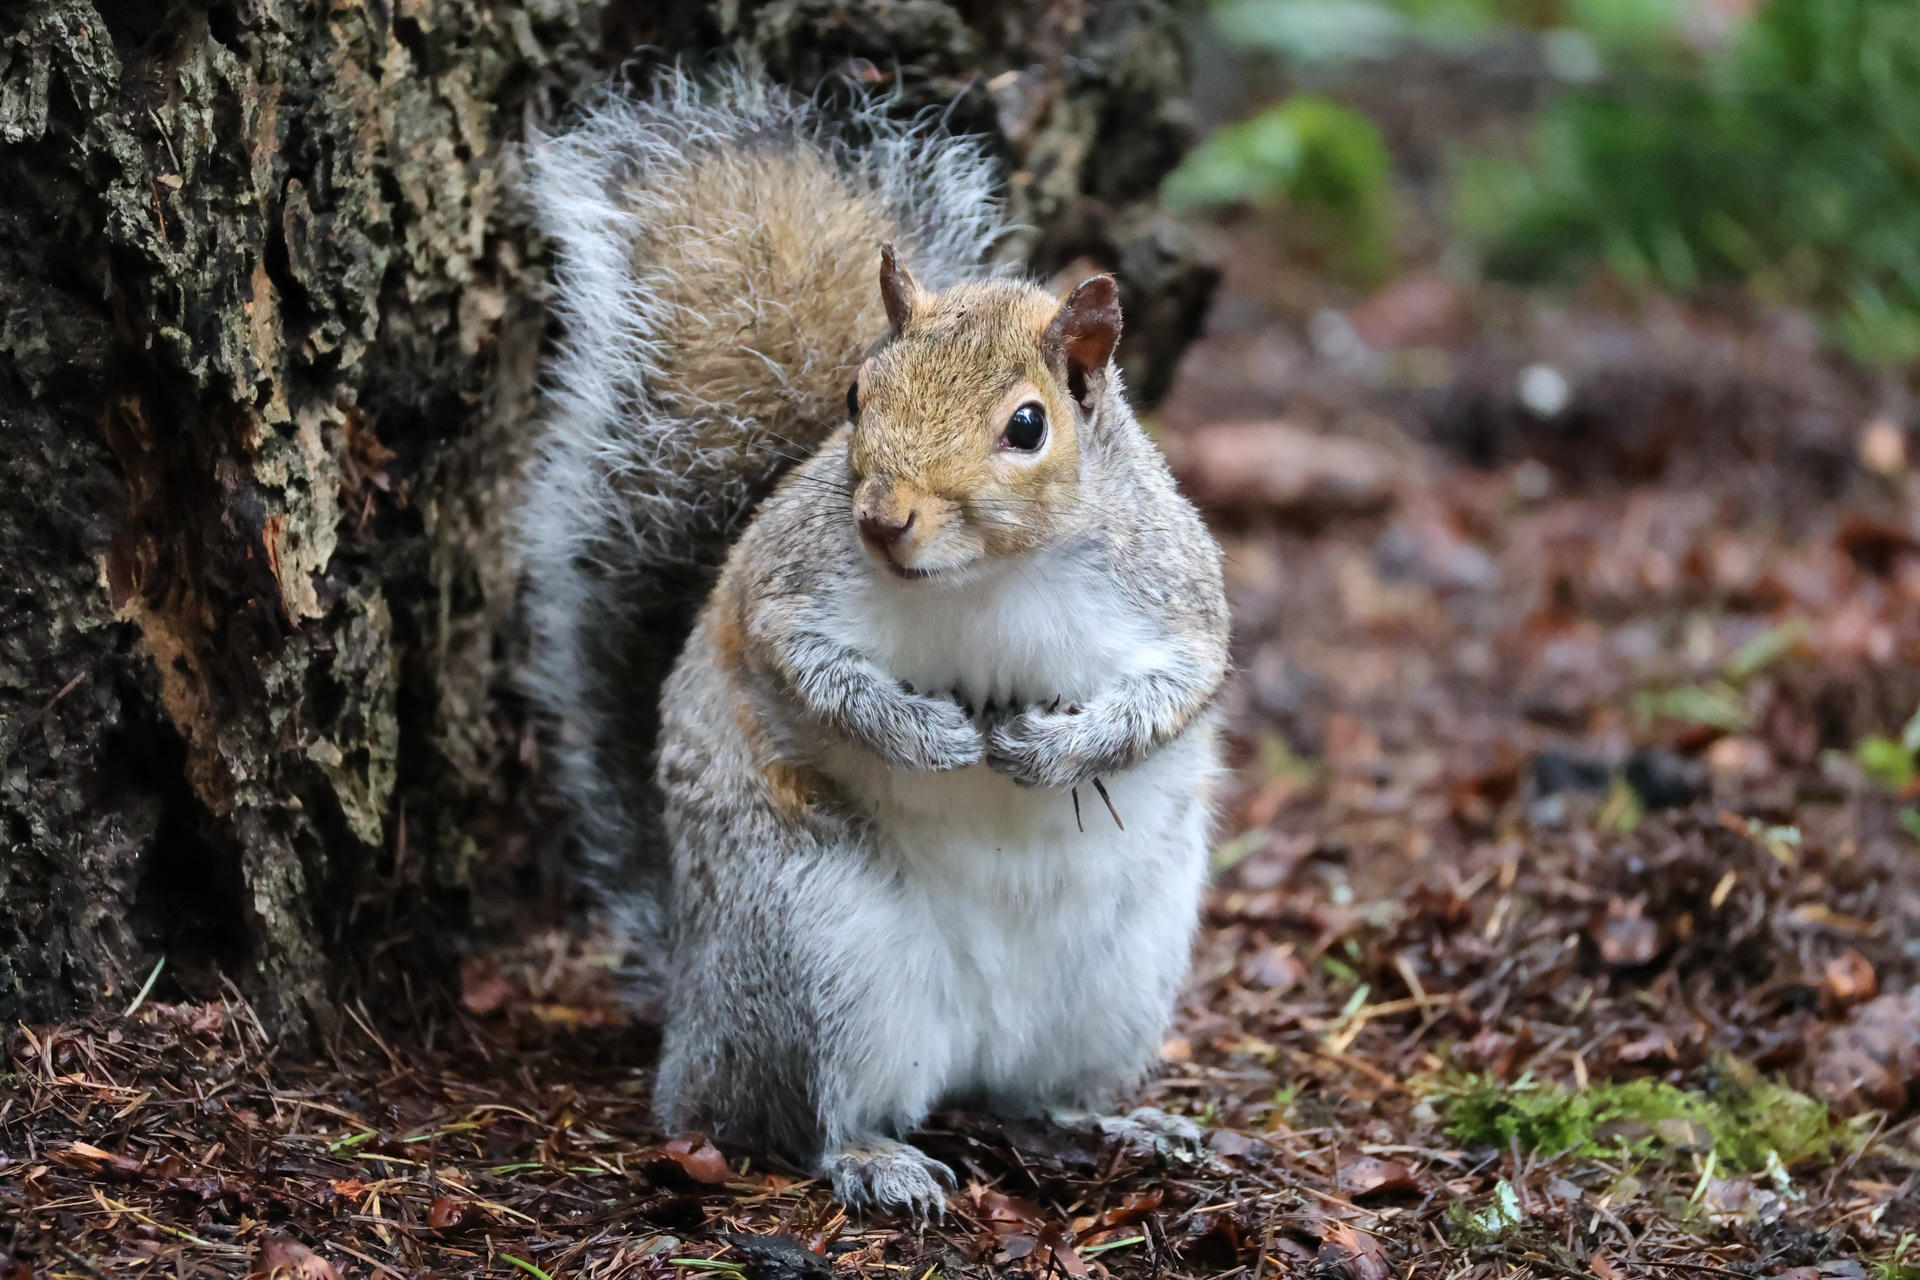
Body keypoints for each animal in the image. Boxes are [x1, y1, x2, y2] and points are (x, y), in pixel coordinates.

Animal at [517, 66, 1230, 1215]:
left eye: (1027, 426)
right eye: (857, 396)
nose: (884, 518)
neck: (991, 578)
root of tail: (692, 1011)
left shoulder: (1176, 598)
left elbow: (1173, 694)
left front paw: (1051, 749)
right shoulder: (784, 589)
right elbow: (809, 672)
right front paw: (929, 736)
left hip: (1122, 977)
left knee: (1040, 1092)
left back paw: (1119, 1120)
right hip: (814, 952)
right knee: (787, 1118)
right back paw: (872, 1158)